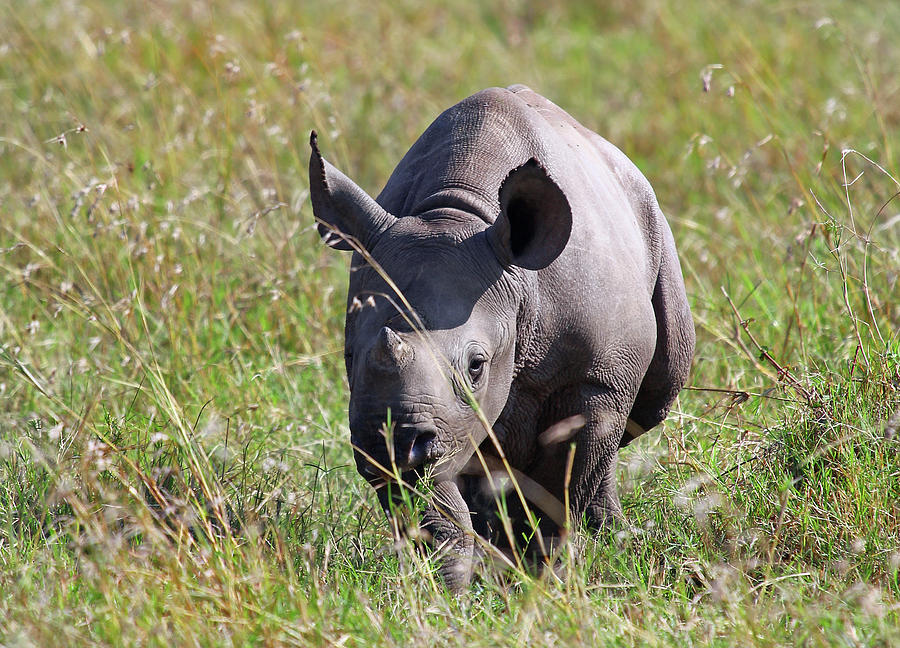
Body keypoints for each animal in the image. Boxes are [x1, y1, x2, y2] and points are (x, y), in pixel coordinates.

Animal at [310, 83, 696, 588]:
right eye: (349, 357)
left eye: (477, 365)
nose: (394, 443)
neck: (455, 216)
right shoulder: (435, 423)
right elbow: (435, 509)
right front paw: (453, 586)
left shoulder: (595, 376)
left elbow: (559, 490)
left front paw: (540, 579)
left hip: (651, 222)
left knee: (649, 400)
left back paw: (606, 540)